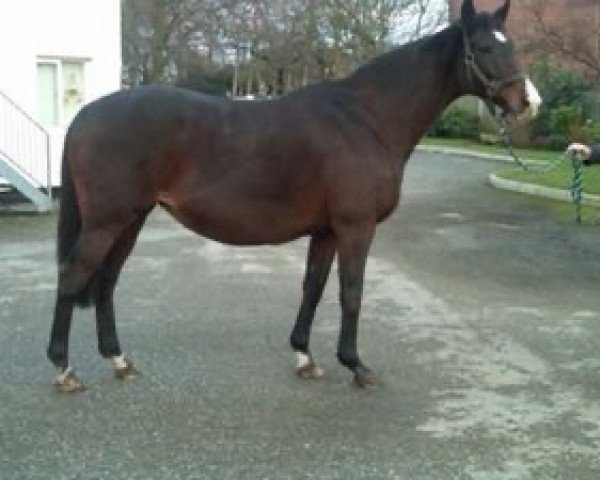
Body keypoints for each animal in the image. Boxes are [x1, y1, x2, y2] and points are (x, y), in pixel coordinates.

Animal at [49, 0, 540, 392]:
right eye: (486, 48)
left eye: (512, 44)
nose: (529, 103)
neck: (366, 118)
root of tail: (86, 113)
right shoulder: (355, 227)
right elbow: (351, 292)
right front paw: (356, 365)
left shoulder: (326, 231)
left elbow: (314, 288)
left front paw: (305, 357)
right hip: (108, 221)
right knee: (74, 275)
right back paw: (64, 369)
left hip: (130, 220)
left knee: (107, 281)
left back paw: (119, 361)